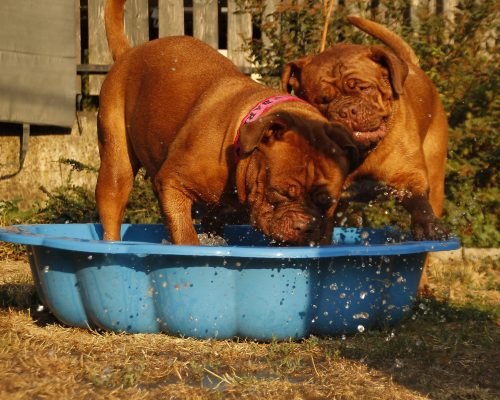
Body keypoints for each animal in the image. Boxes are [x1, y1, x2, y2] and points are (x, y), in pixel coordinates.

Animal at [282, 16, 450, 244]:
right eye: (322, 100)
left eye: (364, 88)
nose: (346, 111)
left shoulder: (408, 174)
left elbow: (417, 200)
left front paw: (427, 225)